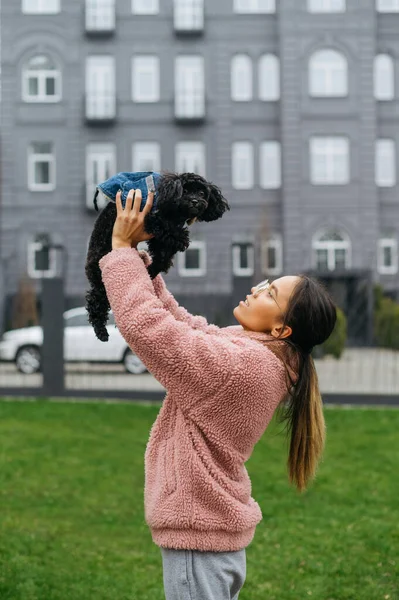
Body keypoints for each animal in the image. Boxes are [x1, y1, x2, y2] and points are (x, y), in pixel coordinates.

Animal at [86, 171, 233, 342]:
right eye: (185, 191)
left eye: (202, 193)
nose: (195, 201)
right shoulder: (150, 218)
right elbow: (167, 228)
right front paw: (181, 237)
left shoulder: (158, 239)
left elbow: (162, 258)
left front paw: (150, 271)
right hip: (100, 272)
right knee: (94, 301)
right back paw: (101, 332)